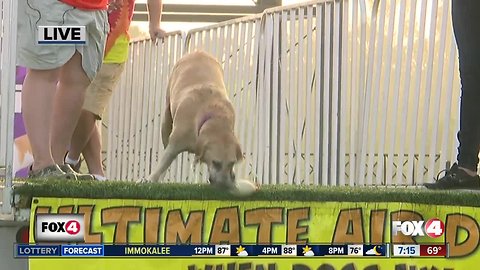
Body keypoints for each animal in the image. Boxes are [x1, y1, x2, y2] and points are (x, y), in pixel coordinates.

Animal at [146, 50, 244, 188]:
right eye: (216, 163)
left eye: (232, 163)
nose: (225, 187)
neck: (215, 118)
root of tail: (198, 52)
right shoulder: (174, 144)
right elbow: (164, 162)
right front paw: (150, 179)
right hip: (166, 119)